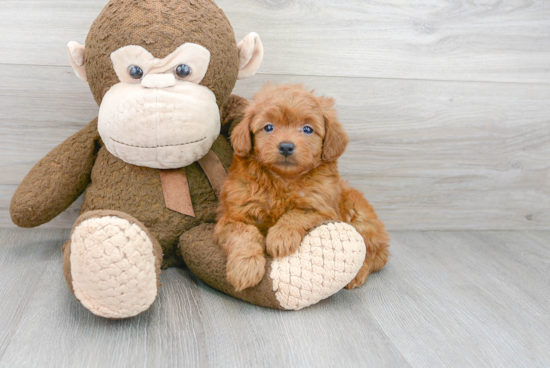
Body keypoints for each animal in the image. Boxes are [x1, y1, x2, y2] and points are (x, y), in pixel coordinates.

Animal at [213, 85, 390, 292]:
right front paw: (246, 267)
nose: (286, 147)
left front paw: (281, 237)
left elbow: (297, 213)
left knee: (373, 254)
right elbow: (245, 233)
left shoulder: (323, 208)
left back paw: (358, 274)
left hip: (362, 219)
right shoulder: (233, 216)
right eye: (268, 127)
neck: (283, 180)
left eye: (307, 129)